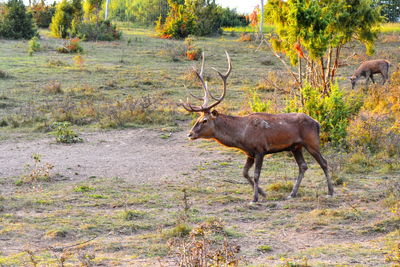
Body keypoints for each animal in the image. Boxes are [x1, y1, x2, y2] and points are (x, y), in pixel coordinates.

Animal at [179, 51, 334, 203]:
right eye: (197, 118)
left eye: (204, 120)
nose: (190, 134)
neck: (241, 136)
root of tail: (317, 123)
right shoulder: (249, 153)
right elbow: (244, 173)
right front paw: (263, 193)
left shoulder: (260, 149)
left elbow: (256, 174)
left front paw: (255, 198)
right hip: (296, 146)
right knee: (303, 166)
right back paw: (292, 194)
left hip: (312, 142)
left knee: (324, 162)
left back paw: (330, 192)